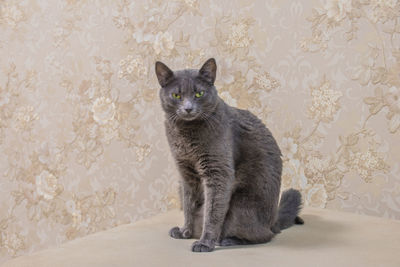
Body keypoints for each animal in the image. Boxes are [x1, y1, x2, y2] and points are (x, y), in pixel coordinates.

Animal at [155, 58, 304, 253]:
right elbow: (188, 205)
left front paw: (205, 243)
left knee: (264, 235)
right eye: (176, 96)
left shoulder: (218, 171)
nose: (188, 108)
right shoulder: (185, 172)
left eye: (199, 93)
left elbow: (212, 212)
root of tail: (273, 221)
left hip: (241, 204)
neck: (185, 134)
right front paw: (185, 231)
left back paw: (228, 240)